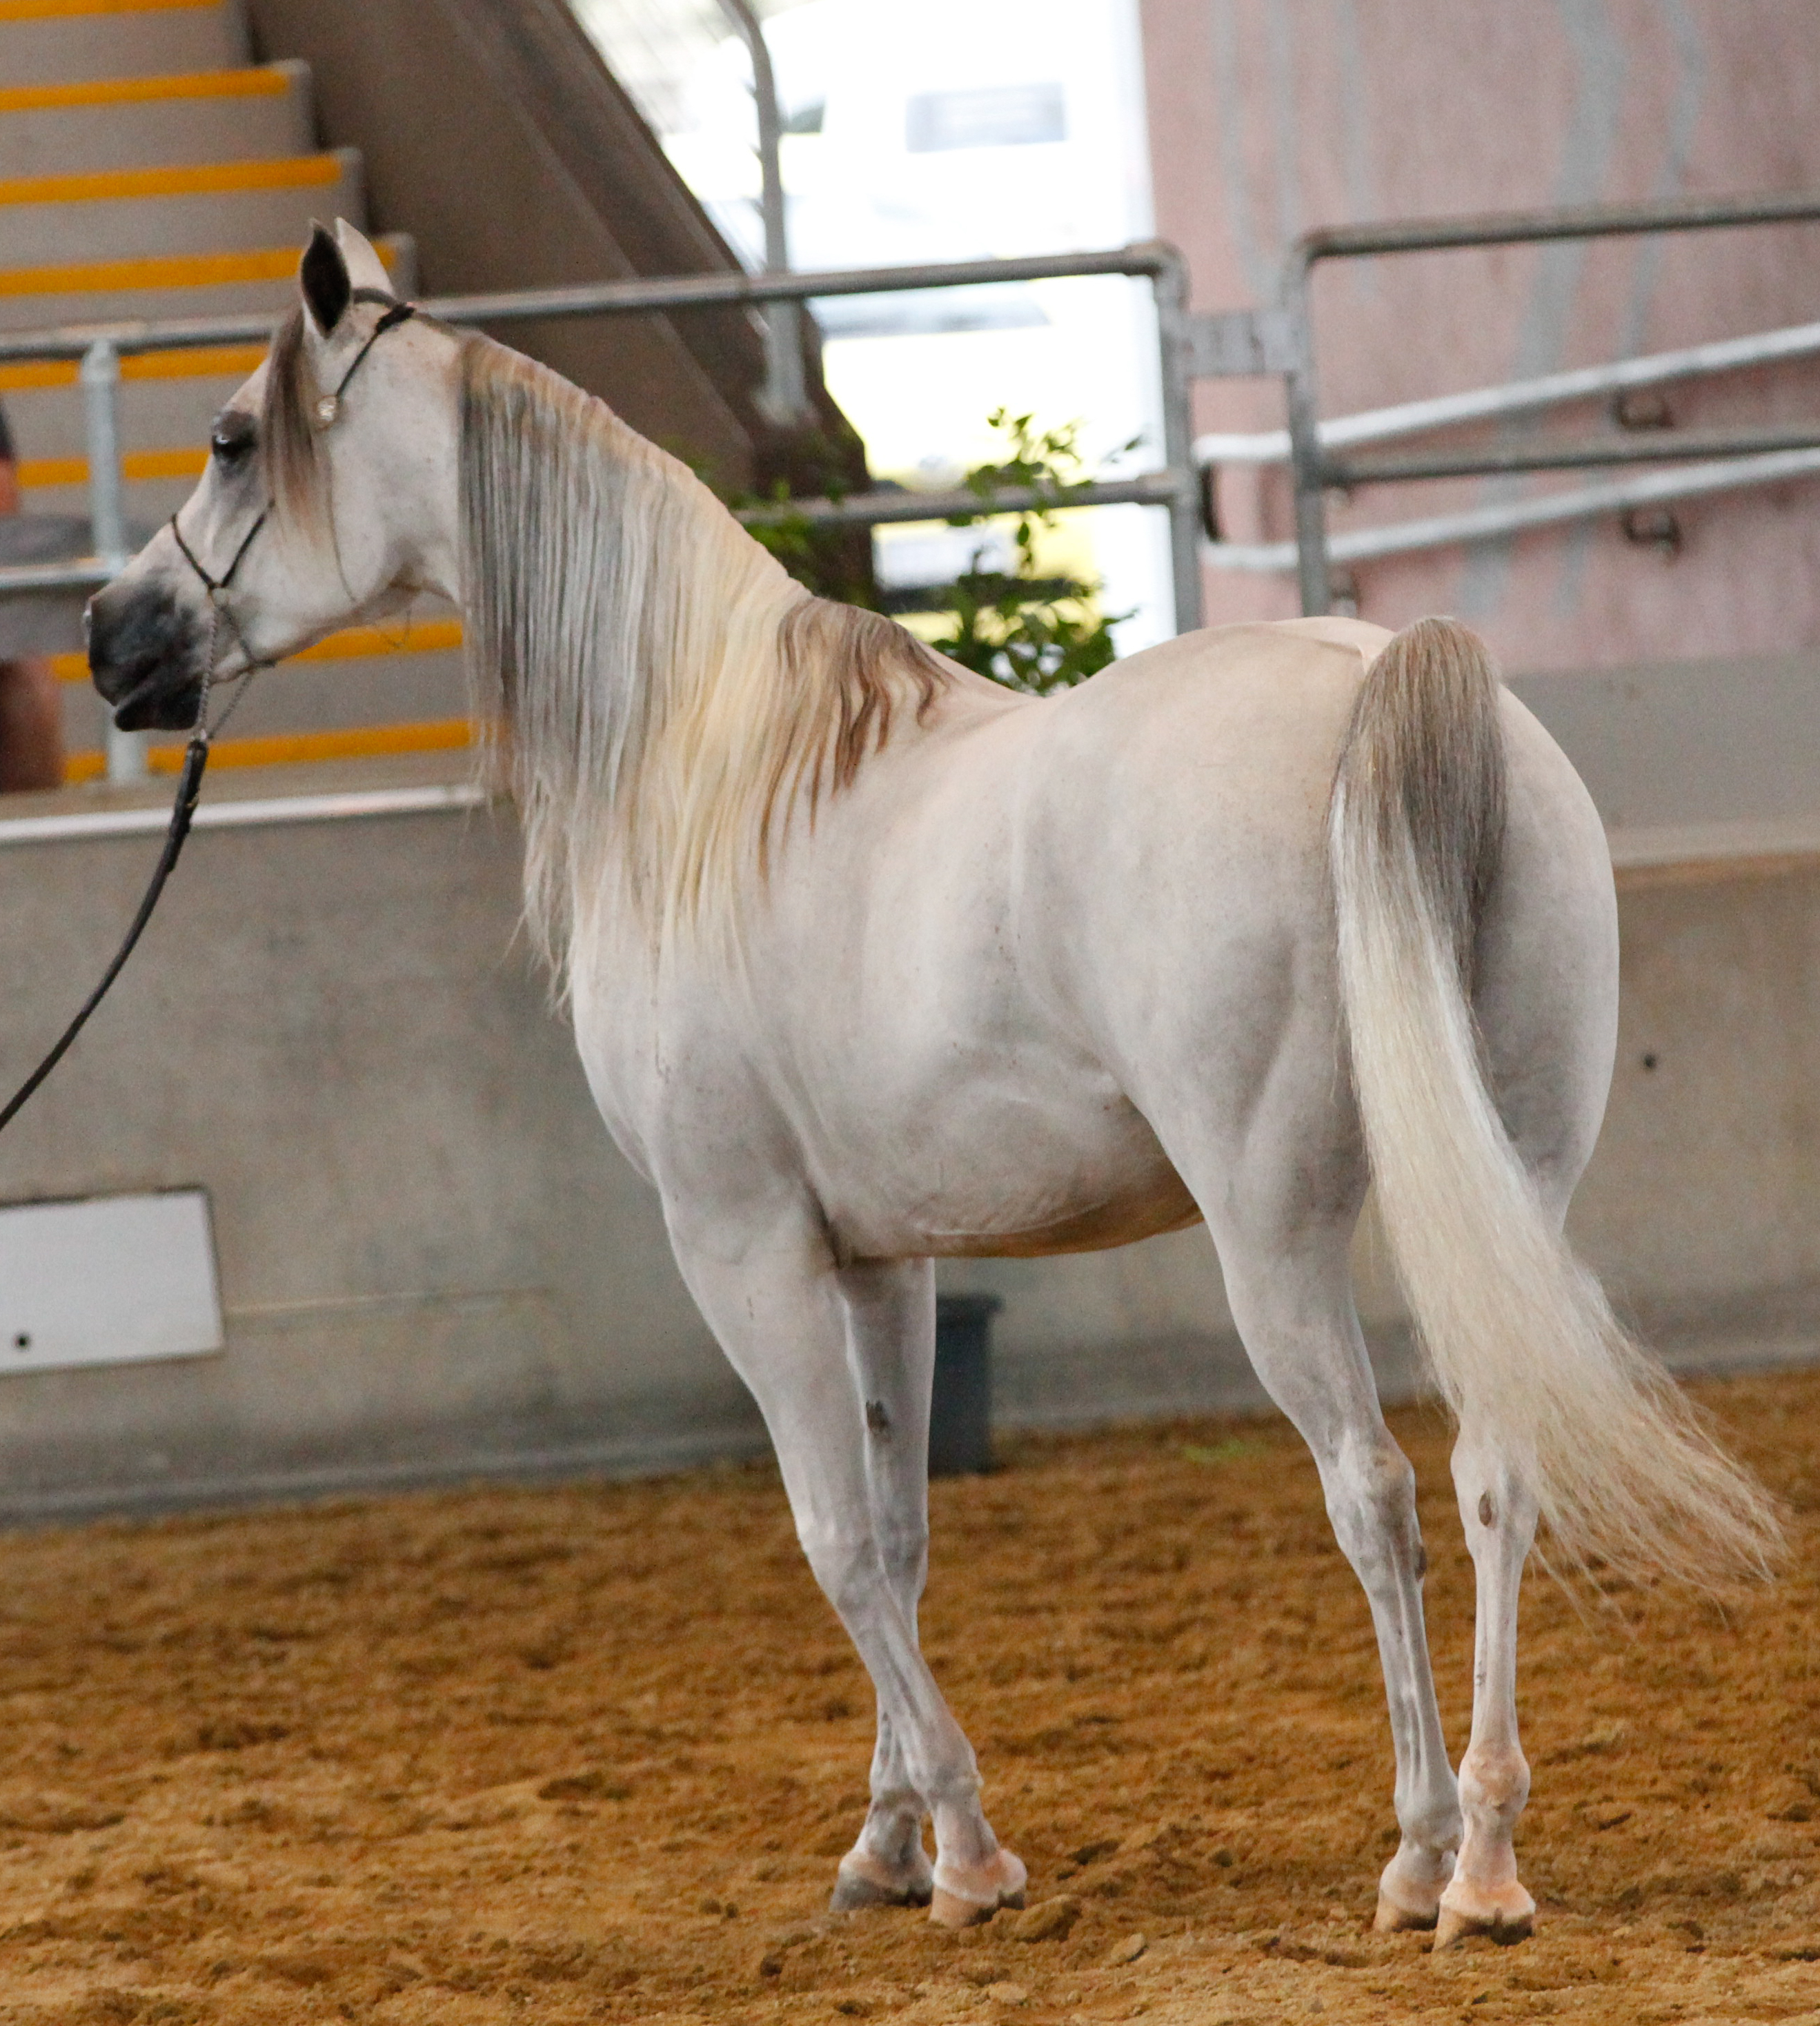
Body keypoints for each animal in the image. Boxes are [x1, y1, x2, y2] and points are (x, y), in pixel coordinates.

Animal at [89, 226, 1781, 1945]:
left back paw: (1427, 1851)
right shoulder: (880, 1262)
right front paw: (883, 1840)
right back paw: (1492, 1852)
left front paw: (965, 1851)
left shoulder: (741, 1246)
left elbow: (832, 1539)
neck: (702, 767)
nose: (111, 637)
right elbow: (900, 1533)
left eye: (230, 438)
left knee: (1370, 1491)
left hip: (1272, 1232)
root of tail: (1387, 672)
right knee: (1497, 1467)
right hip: (1512, 1187)